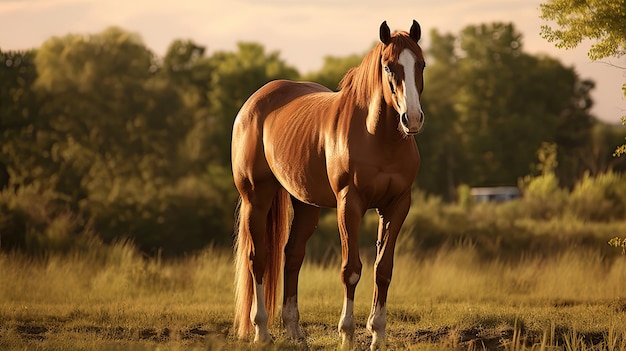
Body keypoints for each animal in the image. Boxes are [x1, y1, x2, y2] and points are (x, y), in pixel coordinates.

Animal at [232, 20, 426, 350]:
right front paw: (347, 334)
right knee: (258, 259)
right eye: (388, 67)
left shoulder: (397, 205)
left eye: (421, 65)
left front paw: (378, 334)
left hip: (306, 204)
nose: (411, 118)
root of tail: (254, 103)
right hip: (256, 198)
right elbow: (351, 270)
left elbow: (383, 269)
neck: (377, 136)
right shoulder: (350, 204)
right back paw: (262, 332)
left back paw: (295, 331)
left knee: (292, 256)